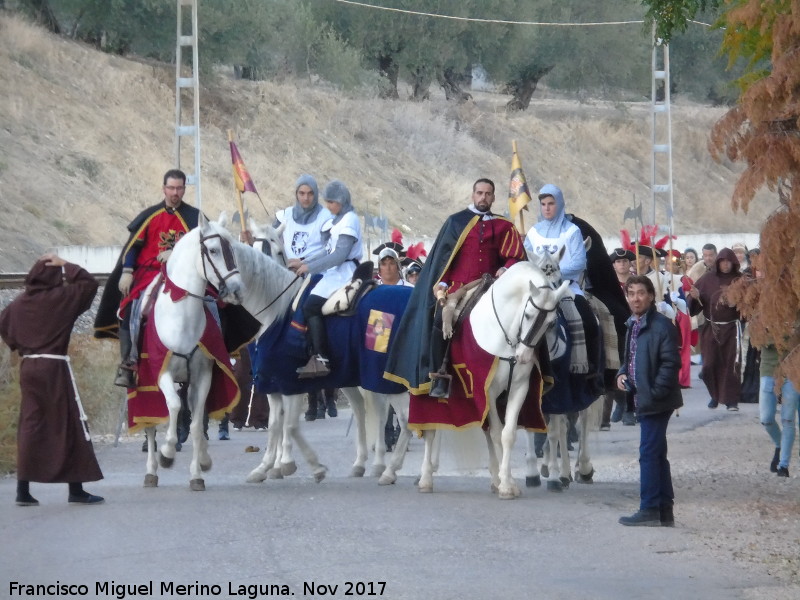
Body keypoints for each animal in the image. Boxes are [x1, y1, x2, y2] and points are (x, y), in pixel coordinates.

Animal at [139, 218, 244, 490]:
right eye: (214, 250)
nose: (237, 290)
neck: (181, 315)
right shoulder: (161, 373)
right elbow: (174, 407)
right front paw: (167, 453)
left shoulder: (202, 376)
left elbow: (196, 424)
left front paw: (198, 472)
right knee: (151, 424)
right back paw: (151, 470)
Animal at [416, 264, 572, 500]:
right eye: (528, 314)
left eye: (551, 322)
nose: (524, 356)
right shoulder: (486, 389)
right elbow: (497, 434)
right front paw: (506, 485)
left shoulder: (518, 388)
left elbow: (506, 434)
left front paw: (507, 482)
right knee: (431, 428)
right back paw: (426, 478)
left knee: (485, 430)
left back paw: (494, 478)